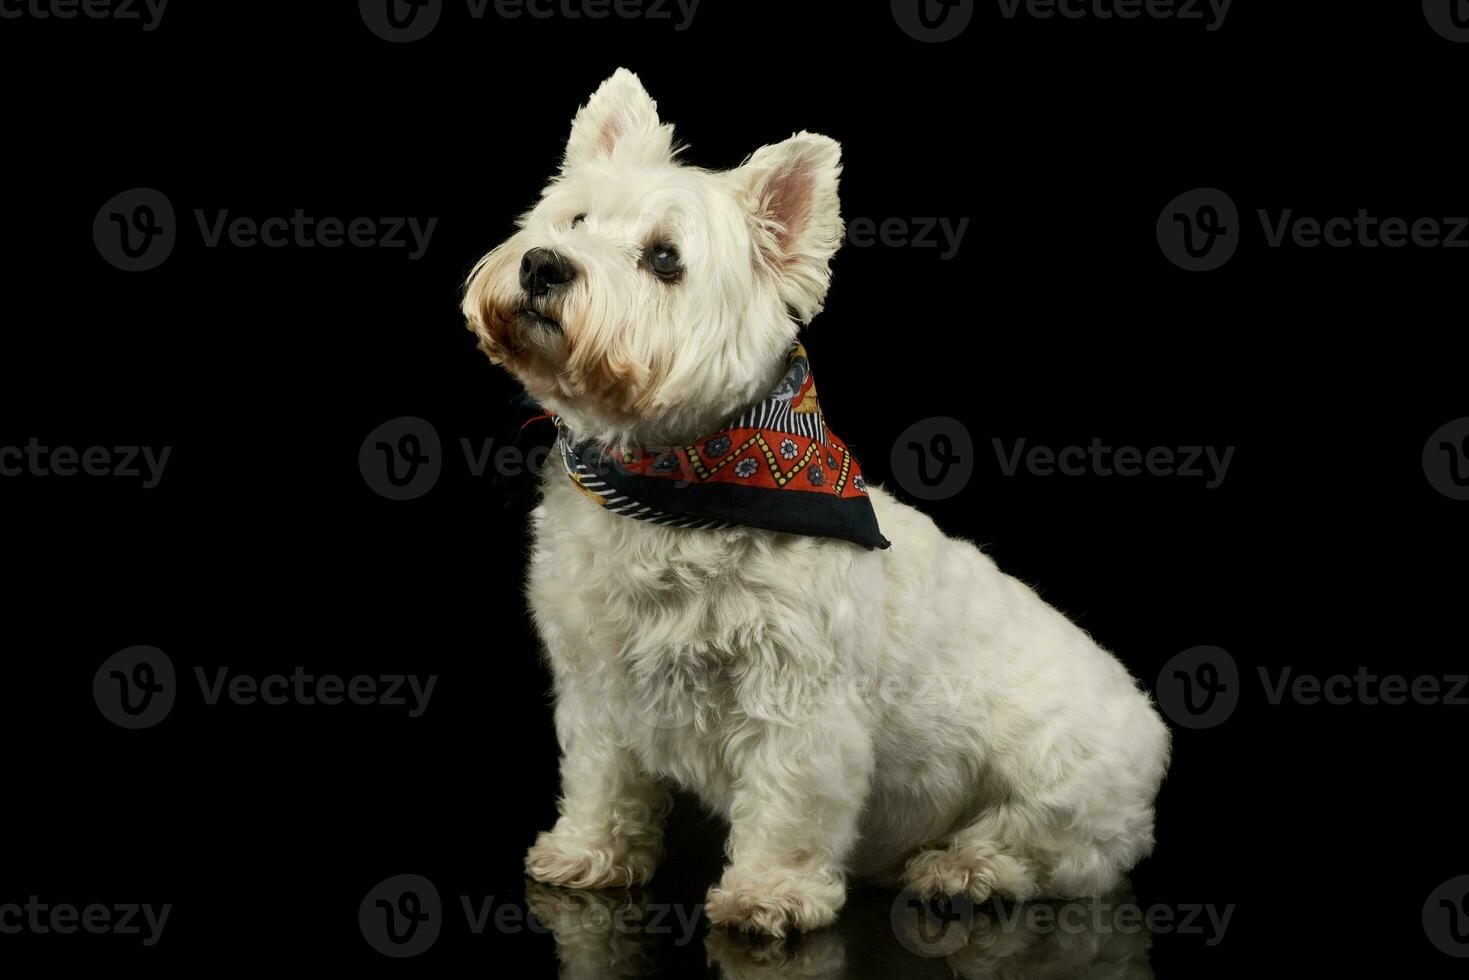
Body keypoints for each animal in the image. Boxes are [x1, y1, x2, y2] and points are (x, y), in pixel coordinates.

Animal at [458, 67, 1169, 934]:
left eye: (664, 259)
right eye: (575, 218)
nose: (543, 266)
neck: (672, 486)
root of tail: (1153, 731)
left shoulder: (799, 701)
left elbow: (791, 803)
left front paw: (772, 892)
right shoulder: (596, 679)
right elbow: (601, 777)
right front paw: (588, 854)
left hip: (1059, 776)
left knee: (1054, 852)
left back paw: (963, 869)